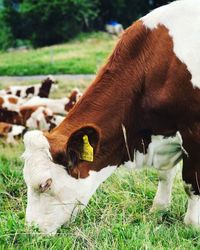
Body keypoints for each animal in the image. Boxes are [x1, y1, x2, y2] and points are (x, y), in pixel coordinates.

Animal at [22, 0, 200, 234]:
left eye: (46, 183)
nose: (31, 230)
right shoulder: (164, 134)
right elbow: (164, 174)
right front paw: (159, 209)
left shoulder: (193, 130)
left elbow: (191, 183)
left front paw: (193, 225)